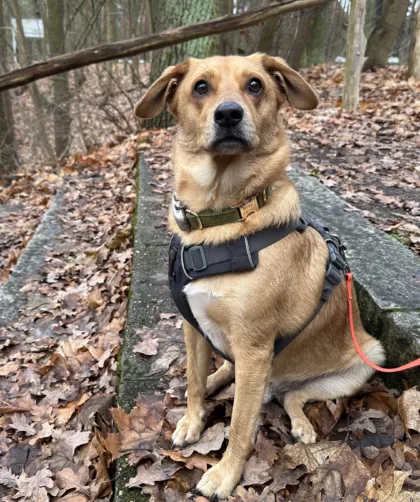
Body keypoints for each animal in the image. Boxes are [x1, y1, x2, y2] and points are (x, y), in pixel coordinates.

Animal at [134, 53, 384, 500]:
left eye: (255, 85)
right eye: (200, 87)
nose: (229, 114)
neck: (222, 219)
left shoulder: (253, 348)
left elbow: (238, 426)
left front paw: (224, 474)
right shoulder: (193, 327)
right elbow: (194, 381)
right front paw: (192, 419)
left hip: (366, 359)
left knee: (293, 398)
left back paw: (301, 424)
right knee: (227, 375)